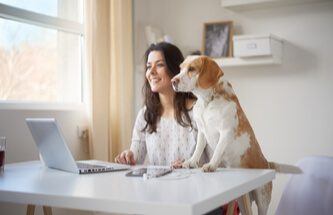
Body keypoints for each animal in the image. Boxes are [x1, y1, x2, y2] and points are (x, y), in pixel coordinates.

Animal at [170, 55, 300, 215]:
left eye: (192, 69)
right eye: (181, 68)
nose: (173, 81)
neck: (207, 101)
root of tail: (267, 164)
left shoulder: (225, 132)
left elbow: (218, 151)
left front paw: (211, 165)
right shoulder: (201, 131)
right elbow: (198, 150)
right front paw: (191, 162)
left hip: (262, 200)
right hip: (243, 202)